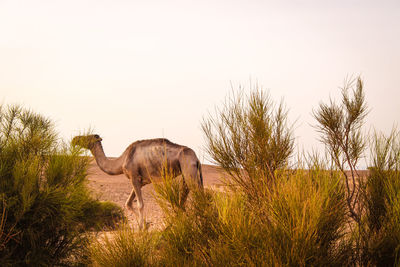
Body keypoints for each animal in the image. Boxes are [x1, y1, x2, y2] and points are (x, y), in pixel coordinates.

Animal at [71, 135, 203, 229]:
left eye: (87, 136)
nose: (74, 139)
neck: (121, 161)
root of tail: (196, 158)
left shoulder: (134, 177)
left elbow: (140, 204)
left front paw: (141, 228)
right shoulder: (141, 181)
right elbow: (128, 203)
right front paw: (145, 225)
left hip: (188, 169)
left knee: (198, 197)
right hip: (188, 174)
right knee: (183, 200)